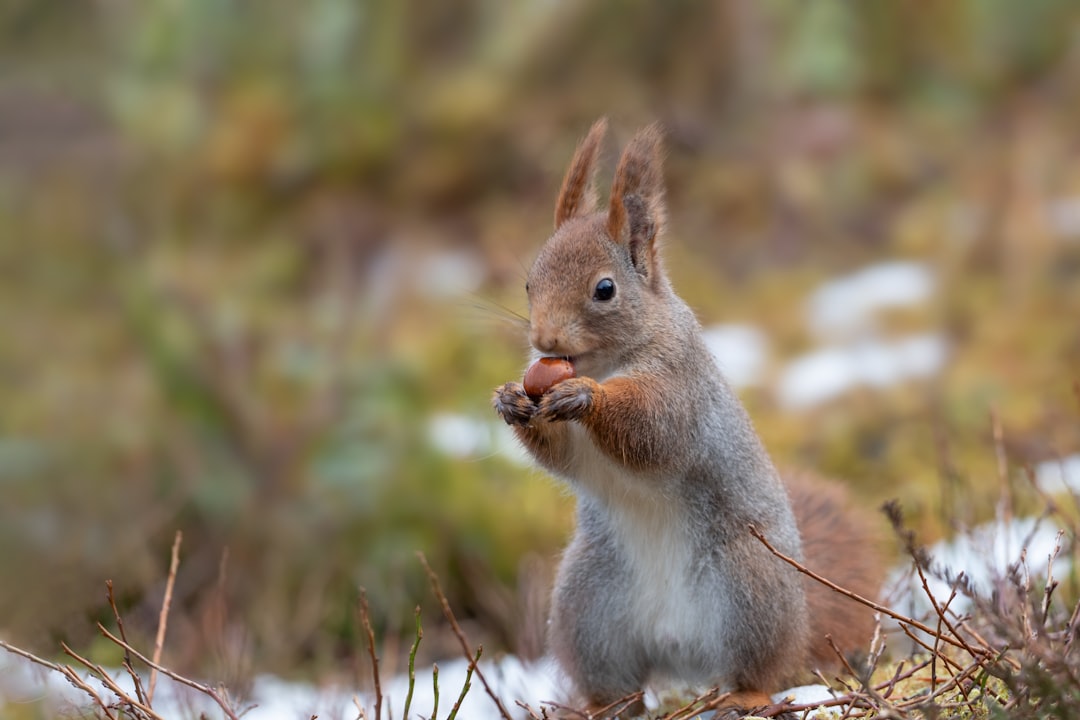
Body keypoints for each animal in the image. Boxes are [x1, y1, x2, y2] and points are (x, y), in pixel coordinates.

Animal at [494, 118, 881, 716]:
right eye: (529, 283)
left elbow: (653, 428)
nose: (544, 340)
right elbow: (561, 454)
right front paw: (511, 400)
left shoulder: (682, 385)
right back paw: (599, 706)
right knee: (616, 685)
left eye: (604, 289)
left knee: (757, 667)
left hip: (749, 592)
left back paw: (746, 694)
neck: (606, 362)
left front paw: (587, 398)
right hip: (589, 609)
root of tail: (676, 646)